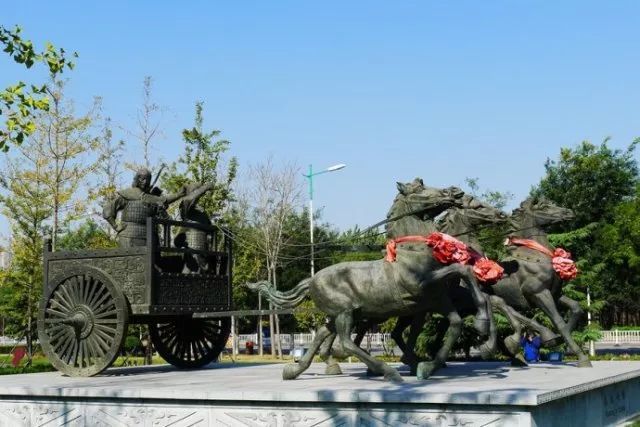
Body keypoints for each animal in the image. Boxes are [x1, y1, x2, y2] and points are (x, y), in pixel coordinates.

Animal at [249, 179, 490, 382]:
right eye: (419, 187)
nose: (455, 191)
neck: (415, 251)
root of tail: (312, 280)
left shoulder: (436, 299)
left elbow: (456, 323)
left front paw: (428, 366)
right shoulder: (422, 287)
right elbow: (463, 270)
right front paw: (482, 326)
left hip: (342, 314)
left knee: (322, 334)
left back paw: (294, 370)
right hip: (345, 313)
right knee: (345, 342)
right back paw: (386, 371)